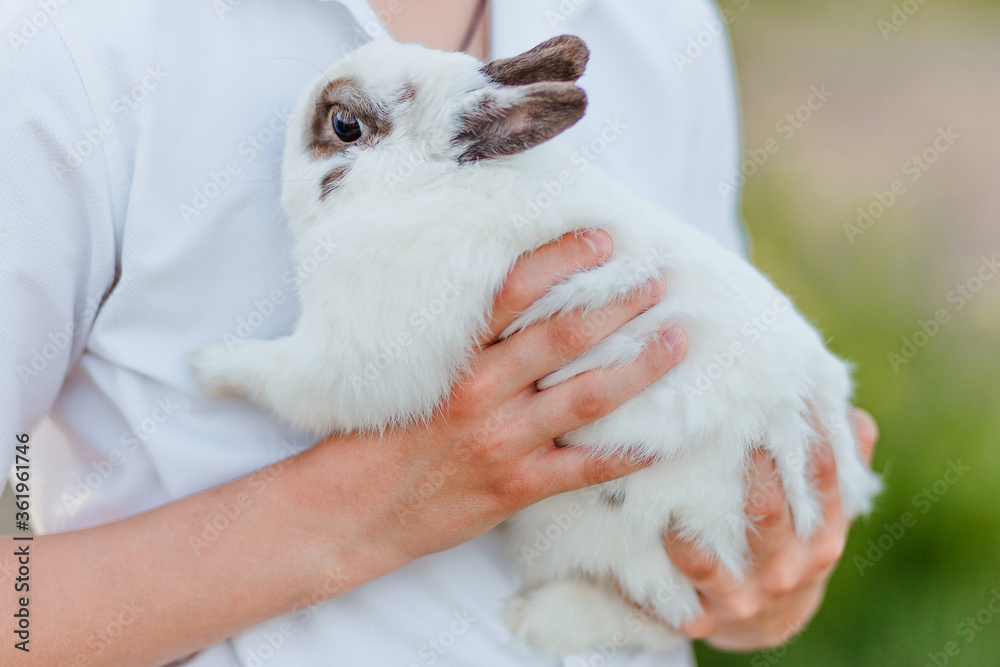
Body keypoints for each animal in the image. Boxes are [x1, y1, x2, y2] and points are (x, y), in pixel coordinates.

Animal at [191, 34, 880, 656]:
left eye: (344, 125)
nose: (288, 124)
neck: (426, 186)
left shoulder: (359, 346)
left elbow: (289, 379)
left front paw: (208, 367)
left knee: (664, 615)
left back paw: (539, 620)